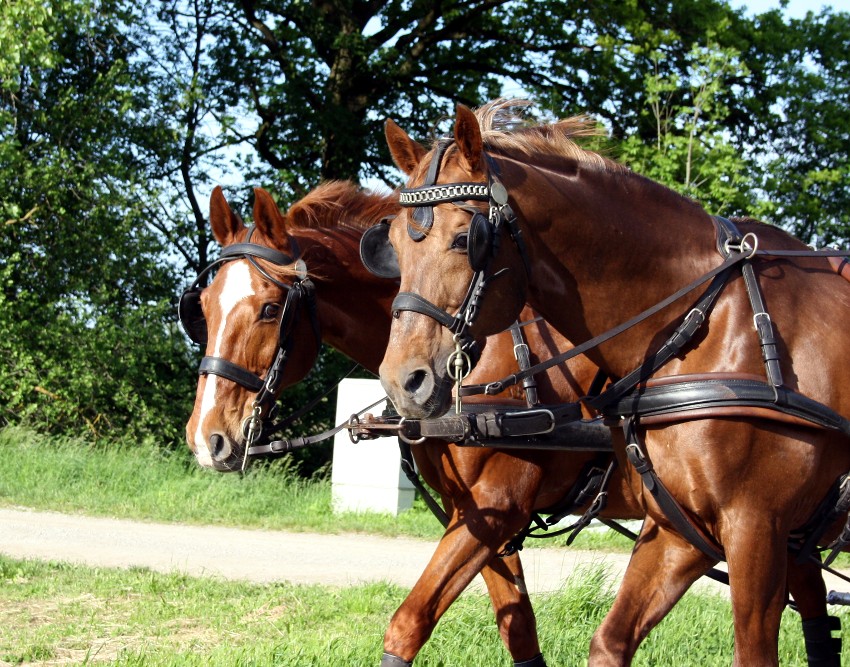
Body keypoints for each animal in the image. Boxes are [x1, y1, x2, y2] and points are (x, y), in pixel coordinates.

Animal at [181, 183, 644, 667]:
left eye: (271, 309)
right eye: (203, 309)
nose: (206, 437)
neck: (477, 352)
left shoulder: (501, 503)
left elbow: (408, 623)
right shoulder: (478, 515)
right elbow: (519, 630)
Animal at [380, 100, 848, 667]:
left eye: (464, 239)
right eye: (394, 243)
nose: (403, 380)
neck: (706, 320)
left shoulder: (756, 528)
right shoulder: (678, 530)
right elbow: (599, 640)